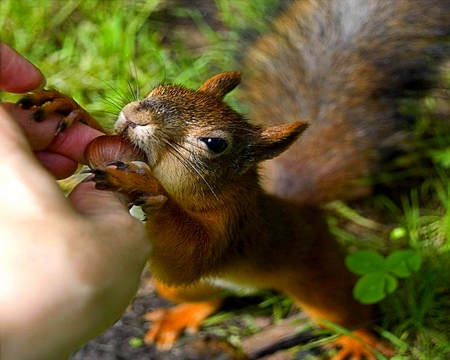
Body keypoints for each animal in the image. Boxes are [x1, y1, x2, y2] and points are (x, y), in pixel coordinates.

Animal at [15, 0, 450, 360]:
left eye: (215, 143)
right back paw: (183, 314)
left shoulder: (233, 225)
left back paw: (360, 341)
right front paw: (70, 107)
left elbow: (189, 255)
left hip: (318, 275)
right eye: (162, 87)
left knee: (345, 310)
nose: (135, 113)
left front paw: (144, 188)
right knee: (206, 298)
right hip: (177, 290)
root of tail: (301, 207)